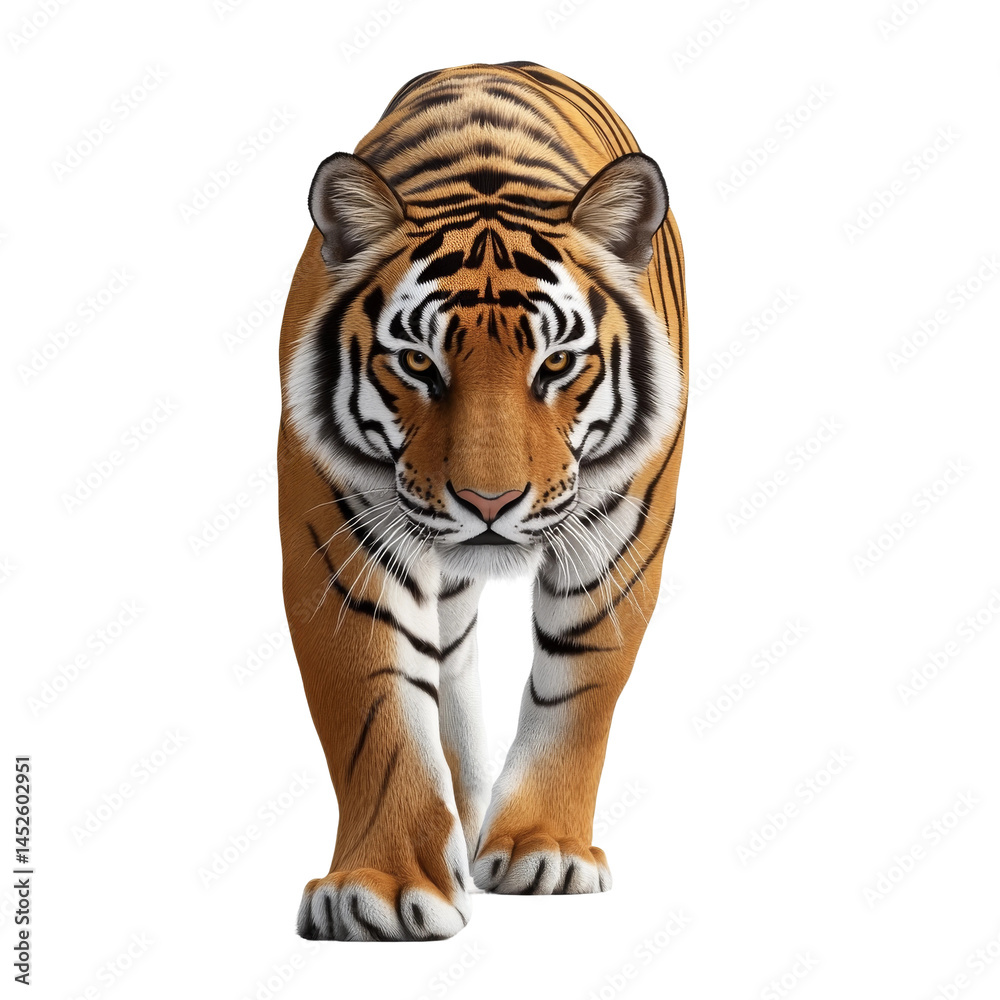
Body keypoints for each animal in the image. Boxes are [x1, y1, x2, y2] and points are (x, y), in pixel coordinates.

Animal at [277, 60, 687, 941]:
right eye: (418, 363)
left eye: (557, 363)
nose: (489, 501)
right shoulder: (338, 540)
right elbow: (379, 706)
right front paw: (382, 887)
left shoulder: (623, 536)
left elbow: (578, 690)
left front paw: (545, 850)